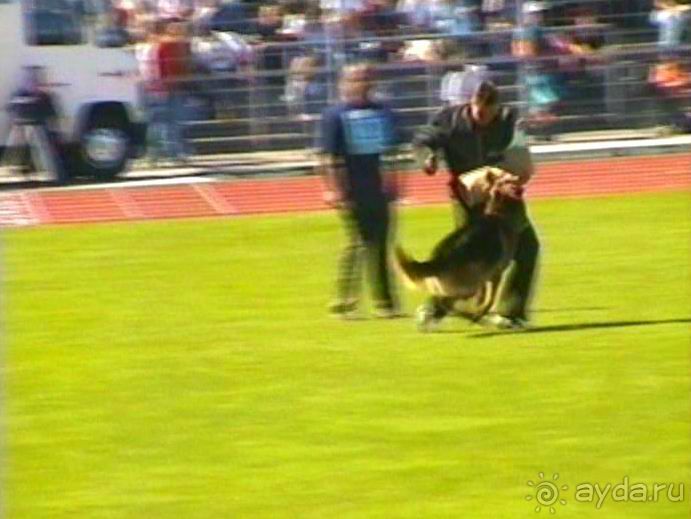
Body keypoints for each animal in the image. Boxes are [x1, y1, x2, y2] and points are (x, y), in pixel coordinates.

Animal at [398, 169, 528, 320]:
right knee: (445, 302)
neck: (499, 212)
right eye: (506, 177)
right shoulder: (496, 273)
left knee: (440, 301)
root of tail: (439, 258)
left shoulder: (486, 275)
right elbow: (490, 298)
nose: (518, 176)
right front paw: (483, 310)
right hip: (468, 286)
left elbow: (483, 296)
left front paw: (480, 308)